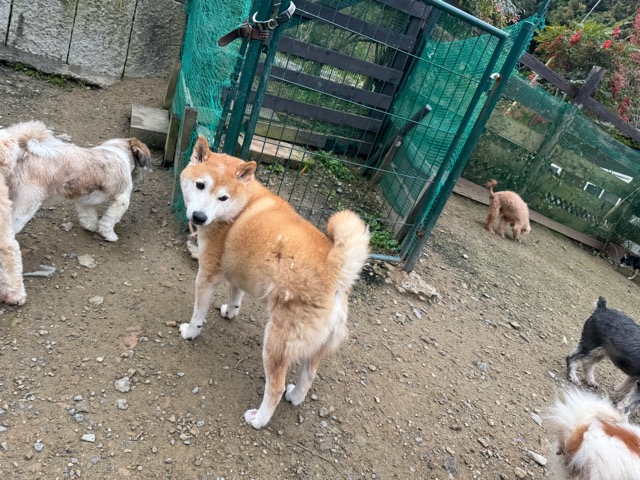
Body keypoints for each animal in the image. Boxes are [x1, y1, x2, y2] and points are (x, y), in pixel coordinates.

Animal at [0, 121, 150, 241]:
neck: (119, 153)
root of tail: (23, 154)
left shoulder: (86, 200)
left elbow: (89, 216)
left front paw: (91, 226)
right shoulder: (121, 201)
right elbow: (108, 221)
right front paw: (109, 235)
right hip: (26, 206)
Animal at [179, 136, 370, 429]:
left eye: (223, 197)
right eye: (201, 185)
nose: (199, 217)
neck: (242, 205)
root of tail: (335, 273)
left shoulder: (208, 273)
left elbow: (198, 312)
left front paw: (191, 331)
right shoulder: (239, 269)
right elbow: (235, 296)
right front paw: (230, 312)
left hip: (276, 343)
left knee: (276, 387)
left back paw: (259, 419)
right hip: (316, 346)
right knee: (308, 375)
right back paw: (295, 396)